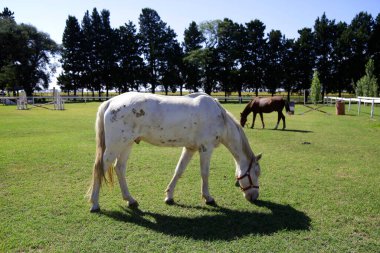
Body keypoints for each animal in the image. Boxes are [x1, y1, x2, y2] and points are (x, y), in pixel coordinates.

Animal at [88, 92, 262, 212]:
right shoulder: (206, 148)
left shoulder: (190, 148)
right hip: (116, 145)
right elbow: (204, 173)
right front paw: (208, 198)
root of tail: (110, 102)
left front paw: (169, 196)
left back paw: (130, 200)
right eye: (256, 173)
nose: (254, 197)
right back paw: (95, 204)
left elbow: (179, 171)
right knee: (100, 168)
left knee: (119, 168)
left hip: (127, 144)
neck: (220, 117)